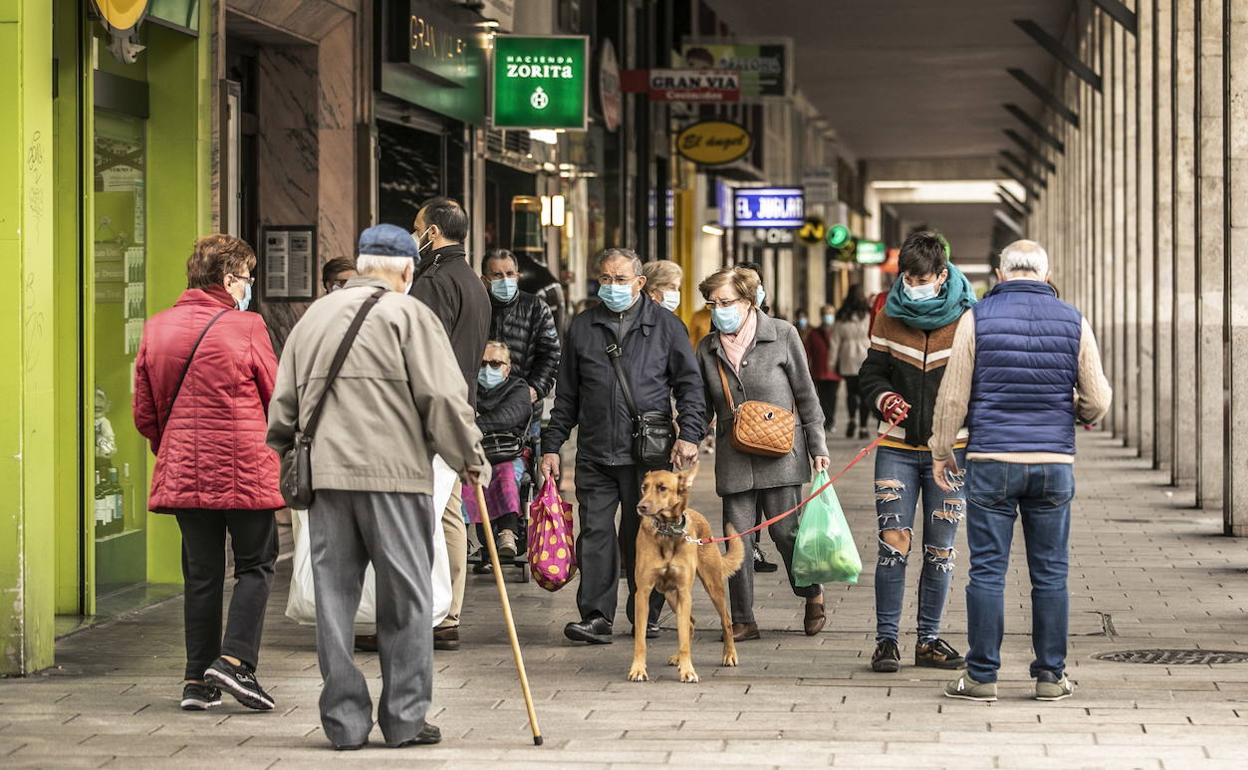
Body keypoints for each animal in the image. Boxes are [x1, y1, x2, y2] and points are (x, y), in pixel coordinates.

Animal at [628, 464, 743, 683]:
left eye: (662, 488)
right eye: (644, 487)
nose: (641, 507)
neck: (667, 532)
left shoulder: (684, 592)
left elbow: (683, 641)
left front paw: (688, 670)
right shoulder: (643, 593)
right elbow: (640, 639)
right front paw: (637, 669)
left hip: (712, 586)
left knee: (726, 621)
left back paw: (730, 655)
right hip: (670, 595)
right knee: (689, 624)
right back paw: (677, 659)